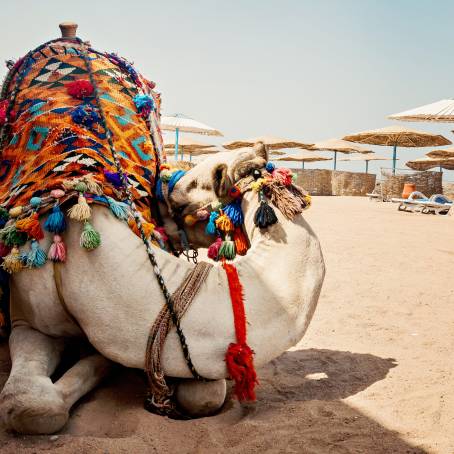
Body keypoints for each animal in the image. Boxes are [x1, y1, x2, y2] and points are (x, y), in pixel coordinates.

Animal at [0, 144, 326, 434]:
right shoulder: (29, 321)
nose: (165, 184)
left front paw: (104, 362)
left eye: (196, 184)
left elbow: (207, 395)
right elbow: (33, 407)